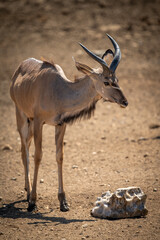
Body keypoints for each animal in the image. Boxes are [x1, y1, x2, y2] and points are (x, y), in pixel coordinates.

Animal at [9, 34, 127, 212]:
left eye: (117, 79)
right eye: (106, 82)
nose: (124, 102)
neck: (59, 90)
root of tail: (19, 70)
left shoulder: (60, 125)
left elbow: (60, 156)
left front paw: (63, 202)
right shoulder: (38, 122)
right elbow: (38, 156)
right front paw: (33, 201)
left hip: (29, 123)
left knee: (26, 148)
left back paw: (27, 190)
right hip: (22, 117)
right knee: (25, 152)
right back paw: (29, 194)